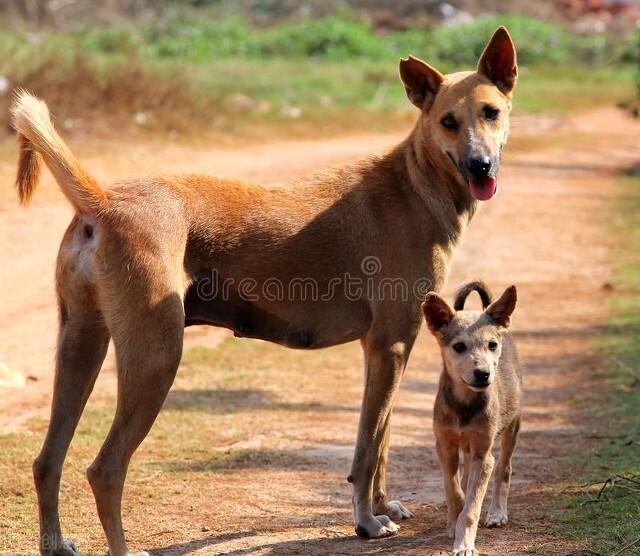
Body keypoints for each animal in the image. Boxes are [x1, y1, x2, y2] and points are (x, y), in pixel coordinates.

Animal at [422, 282, 524, 556]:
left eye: (491, 345)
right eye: (458, 347)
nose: (483, 374)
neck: (465, 405)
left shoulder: (483, 455)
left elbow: (472, 507)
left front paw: (464, 543)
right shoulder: (444, 447)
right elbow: (454, 490)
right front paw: (452, 523)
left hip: (512, 426)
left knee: (505, 468)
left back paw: (497, 512)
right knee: (466, 474)